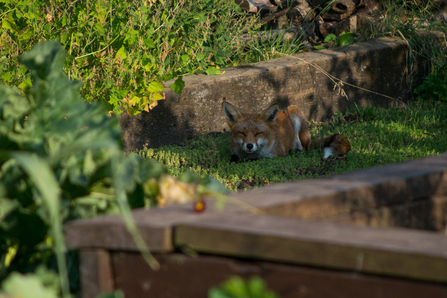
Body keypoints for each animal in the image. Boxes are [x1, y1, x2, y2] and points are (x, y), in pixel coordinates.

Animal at [222, 102, 352, 163]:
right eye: (241, 133)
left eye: (258, 133)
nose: (249, 145)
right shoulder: (234, 152)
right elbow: (234, 158)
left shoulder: (277, 155)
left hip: (294, 112)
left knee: (303, 148)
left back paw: (294, 151)